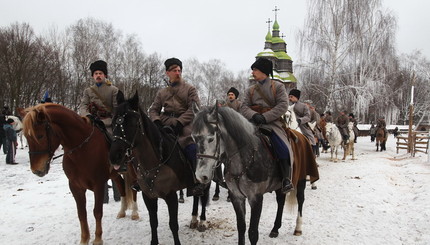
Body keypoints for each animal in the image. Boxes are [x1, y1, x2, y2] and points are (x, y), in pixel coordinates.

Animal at [19, 104, 138, 245]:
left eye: (40, 136)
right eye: (26, 137)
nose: (36, 170)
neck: (81, 150)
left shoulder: (98, 185)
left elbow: (97, 212)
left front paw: (98, 238)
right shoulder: (75, 187)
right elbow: (81, 213)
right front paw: (84, 239)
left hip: (133, 170)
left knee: (133, 190)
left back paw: (135, 213)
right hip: (114, 174)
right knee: (121, 186)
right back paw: (122, 211)